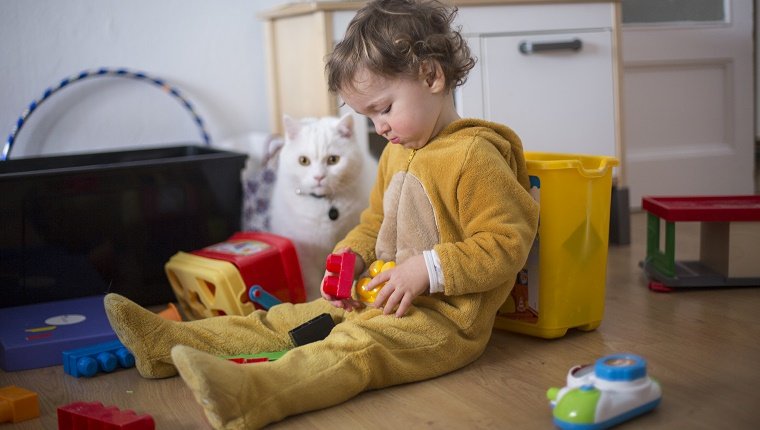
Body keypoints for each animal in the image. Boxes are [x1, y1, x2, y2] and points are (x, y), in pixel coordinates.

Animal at [270, 113, 378, 298]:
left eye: (333, 160)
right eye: (303, 161)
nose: (318, 177)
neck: (326, 204)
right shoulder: (304, 257)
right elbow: (312, 284)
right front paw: (315, 299)